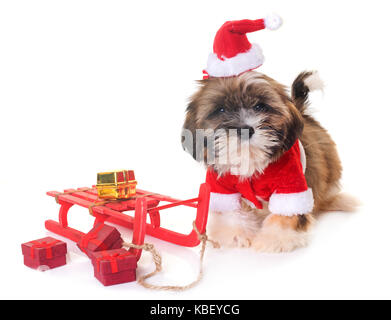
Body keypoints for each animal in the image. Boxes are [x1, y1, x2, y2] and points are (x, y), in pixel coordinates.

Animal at [182, 72, 356, 252]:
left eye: (260, 107)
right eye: (221, 109)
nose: (245, 129)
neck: (250, 158)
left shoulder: (290, 184)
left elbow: (286, 215)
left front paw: (274, 238)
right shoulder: (222, 187)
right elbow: (230, 211)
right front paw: (236, 233)